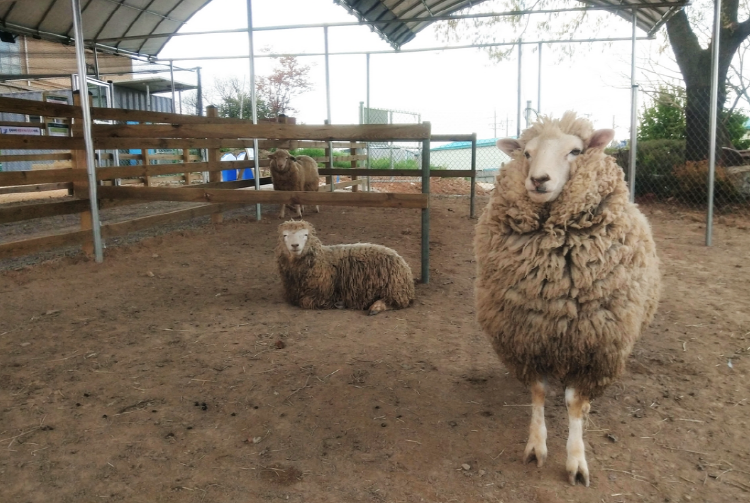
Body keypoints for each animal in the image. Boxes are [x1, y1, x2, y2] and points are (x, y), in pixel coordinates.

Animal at [278, 220, 418, 316]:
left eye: (305, 235)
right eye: (285, 235)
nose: (295, 245)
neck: (321, 259)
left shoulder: (320, 294)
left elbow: (305, 302)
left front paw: (338, 303)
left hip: (395, 289)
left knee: (395, 302)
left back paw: (375, 307)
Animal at [478, 112, 660, 486]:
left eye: (575, 151)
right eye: (526, 153)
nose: (538, 180)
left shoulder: (593, 345)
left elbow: (575, 403)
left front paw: (576, 461)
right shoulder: (528, 335)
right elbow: (537, 392)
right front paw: (536, 446)